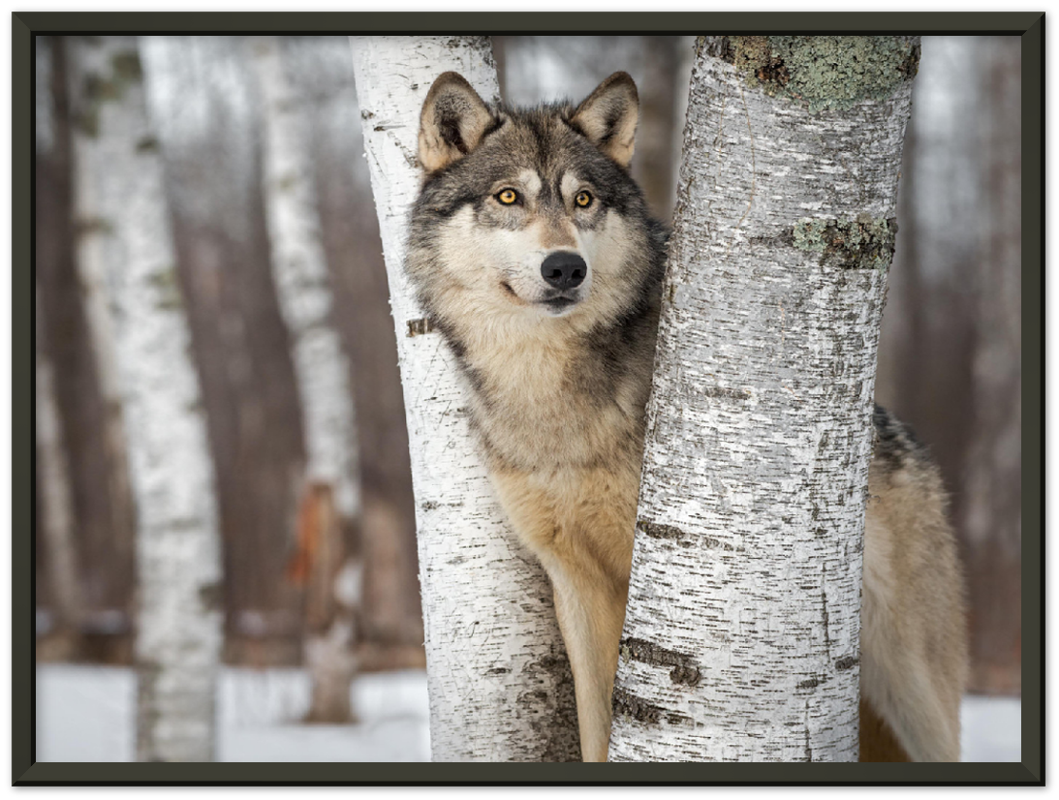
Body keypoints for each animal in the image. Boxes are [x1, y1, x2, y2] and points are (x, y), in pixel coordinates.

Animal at [407, 70, 968, 763]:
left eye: (584, 199)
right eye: (508, 196)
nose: (565, 267)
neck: (550, 397)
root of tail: (905, 440)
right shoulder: (575, 582)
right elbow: (596, 727)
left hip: (913, 693)